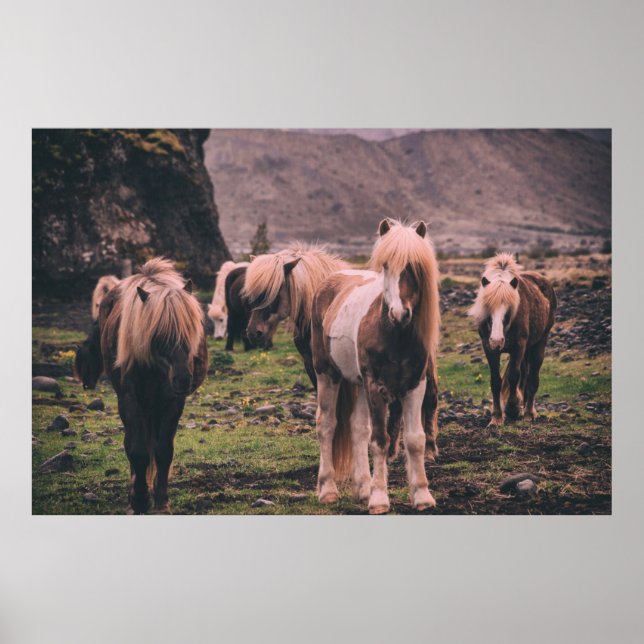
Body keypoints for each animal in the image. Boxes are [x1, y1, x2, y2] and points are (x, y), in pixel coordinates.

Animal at [98, 258, 207, 514]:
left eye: (191, 330)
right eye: (158, 335)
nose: (183, 379)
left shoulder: (173, 403)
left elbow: (163, 451)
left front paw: (161, 502)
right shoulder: (130, 401)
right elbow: (137, 452)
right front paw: (138, 500)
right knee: (132, 444)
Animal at [310, 219, 441, 514]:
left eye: (414, 267)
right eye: (386, 266)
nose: (399, 314)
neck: (394, 335)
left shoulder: (415, 386)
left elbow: (415, 440)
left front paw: (422, 495)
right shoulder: (376, 387)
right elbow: (380, 440)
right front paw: (380, 499)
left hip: (358, 383)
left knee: (358, 428)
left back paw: (362, 489)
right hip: (328, 375)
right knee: (327, 424)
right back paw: (328, 490)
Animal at [469, 253, 557, 427]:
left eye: (509, 310)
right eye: (487, 309)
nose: (497, 341)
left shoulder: (518, 347)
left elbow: (513, 377)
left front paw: (512, 409)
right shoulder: (488, 348)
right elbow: (496, 381)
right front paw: (496, 417)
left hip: (539, 342)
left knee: (532, 377)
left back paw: (529, 413)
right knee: (525, 374)